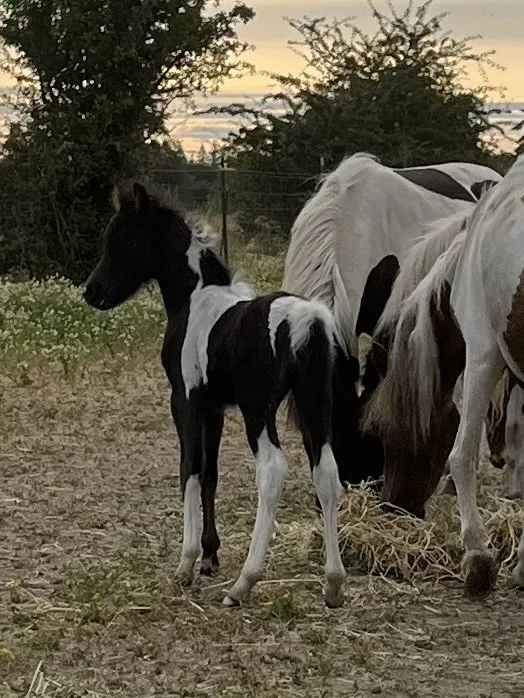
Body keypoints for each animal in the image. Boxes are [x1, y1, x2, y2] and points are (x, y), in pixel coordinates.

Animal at [83, 183, 345, 608]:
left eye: (122, 238)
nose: (93, 292)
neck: (195, 301)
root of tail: (304, 321)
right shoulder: (215, 407)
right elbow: (210, 473)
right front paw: (209, 556)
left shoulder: (184, 400)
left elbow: (188, 468)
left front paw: (187, 562)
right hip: (314, 406)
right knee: (326, 472)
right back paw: (334, 584)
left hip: (259, 412)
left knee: (272, 470)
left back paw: (244, 583)